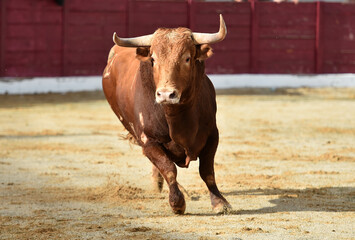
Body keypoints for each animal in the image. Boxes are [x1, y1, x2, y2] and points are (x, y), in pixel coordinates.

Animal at [101, 15, 232, 214]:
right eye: (153, 59)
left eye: (187, 58)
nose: (165, 94)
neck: (177, 118)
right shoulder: (148, 141)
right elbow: (169, 169)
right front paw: (177, 203)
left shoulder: (212, 135)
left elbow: (207, 172)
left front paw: (220, 202)